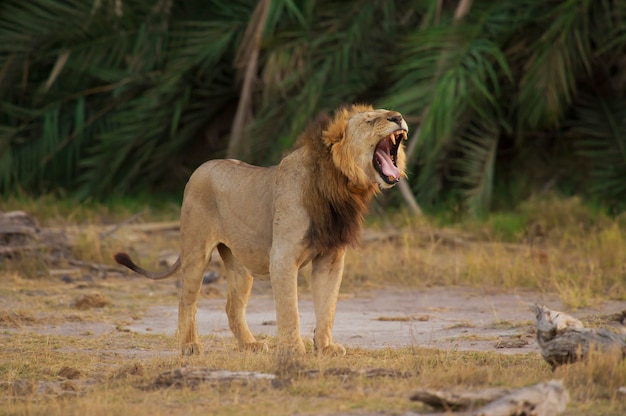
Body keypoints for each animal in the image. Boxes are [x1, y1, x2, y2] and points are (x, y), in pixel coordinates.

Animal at [114, 105, 408, 356]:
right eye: (371, 120)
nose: (398, 117)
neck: (342, 185)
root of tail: (200, 168)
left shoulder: (331, 258)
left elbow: (328, 306)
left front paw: (325, 347)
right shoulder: (282, 257)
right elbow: (290, 308)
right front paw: (293, 349)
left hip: (240, 265)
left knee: (232, 306)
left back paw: (250, 345)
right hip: (196, 251)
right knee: (186, 300)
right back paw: (190, 346)